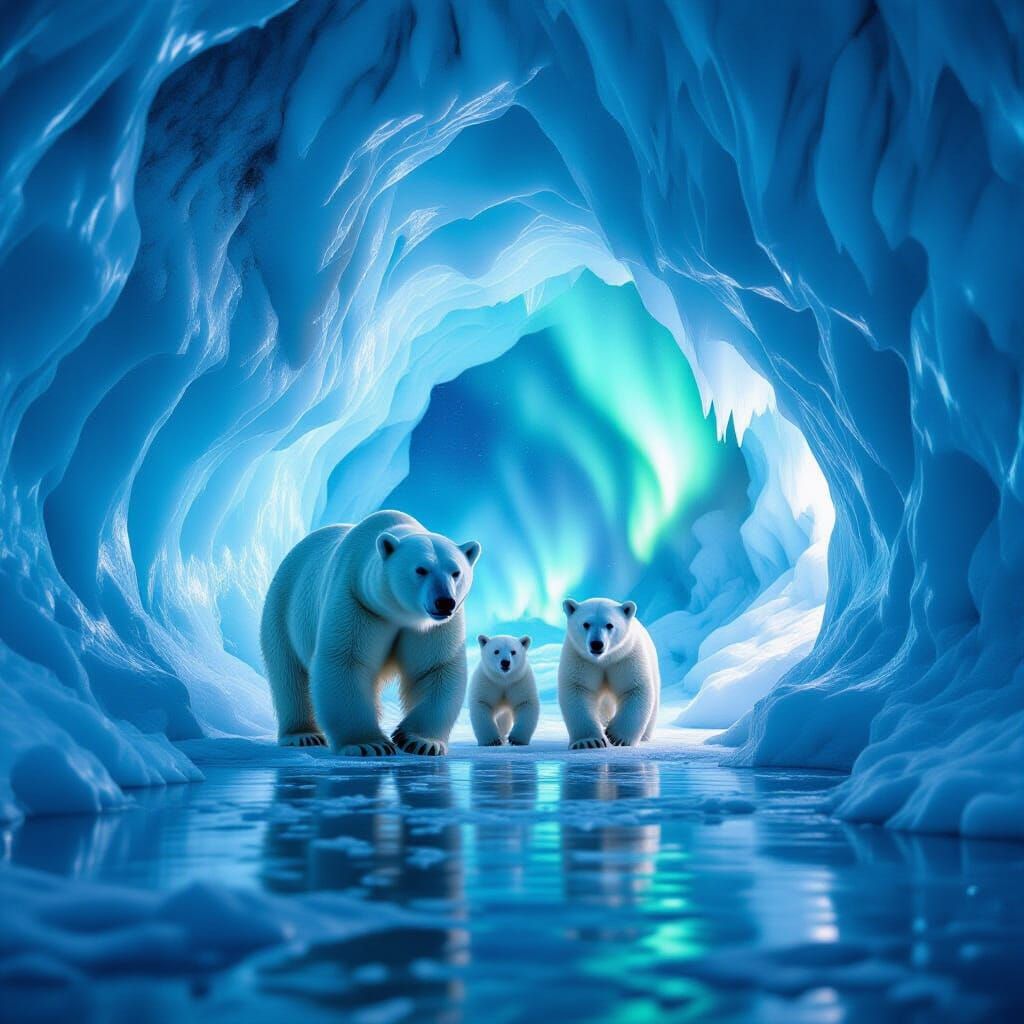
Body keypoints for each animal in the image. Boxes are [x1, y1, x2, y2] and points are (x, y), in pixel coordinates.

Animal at [260, 509, 481, 756]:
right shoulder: (357, 600)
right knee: (289, 674)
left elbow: (435, 667)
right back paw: (303, 735)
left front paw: (419, 741)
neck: (397, 611)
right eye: (421, 569)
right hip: (283, 608)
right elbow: (347, 661)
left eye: (456, 572)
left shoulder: (433, 627)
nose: (444, 602)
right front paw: (368, 744)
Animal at [557, 597, 660, 750]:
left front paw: (617, 737)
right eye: (586, 624)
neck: (603, 660)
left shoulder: (625, 657)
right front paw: (588, 742)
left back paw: (645, 736)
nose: (596, 644)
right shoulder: (580, 659)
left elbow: (634, 688)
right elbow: (577, 689)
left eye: (609, 625)